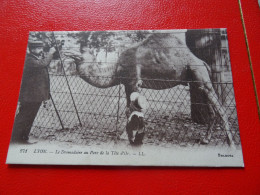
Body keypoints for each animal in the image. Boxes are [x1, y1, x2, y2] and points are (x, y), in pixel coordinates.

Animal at [63, 32, 236, 148]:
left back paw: (230, 142)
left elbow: (131, 110)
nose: (66, 50)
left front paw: (126, 136)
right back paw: (206, 139)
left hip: (198, 73)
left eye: (82, 50)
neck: (116, 69)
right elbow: (128, 110)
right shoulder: (127, 85)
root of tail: (201, 61)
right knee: (211, 109)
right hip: (195, 81)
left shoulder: (134, 81)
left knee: (220, 108)